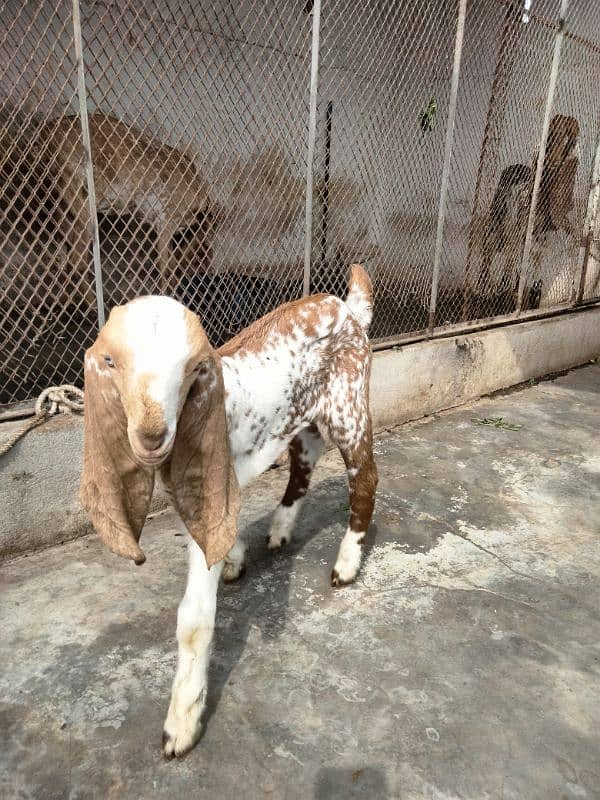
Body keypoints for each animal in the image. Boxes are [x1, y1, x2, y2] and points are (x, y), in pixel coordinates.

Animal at [79, 266, 378, 760]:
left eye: (194, 368)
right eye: (111, 361)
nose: (151, 434)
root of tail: (347, 307)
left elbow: (195, 621)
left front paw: (181, 723)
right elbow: (218, 532)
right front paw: (236, 555)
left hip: (349, 406)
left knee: (365, 479)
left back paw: (346, 564)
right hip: (305, 418)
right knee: (303, 466)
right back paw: (279, 530)